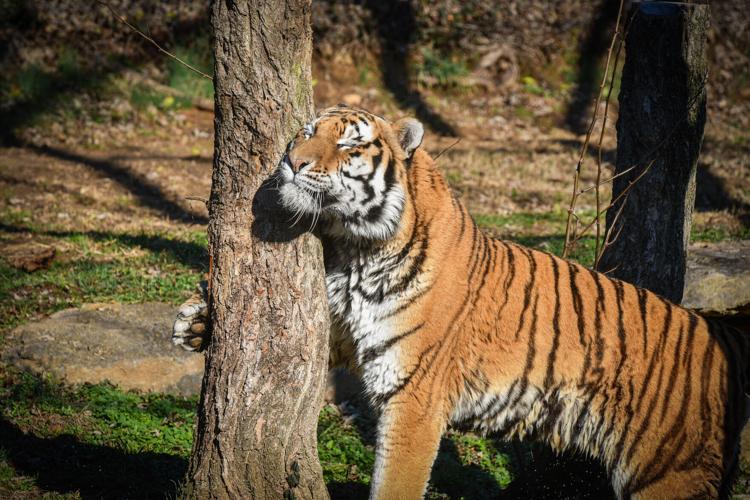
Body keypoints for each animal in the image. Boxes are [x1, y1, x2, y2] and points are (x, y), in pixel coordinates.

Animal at [172, 104, 750, 499]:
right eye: (307, 131)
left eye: (350, 147)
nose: (291, 162)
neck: (355, 249)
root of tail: (719, 332)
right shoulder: (350, 332)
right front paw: (197, 325)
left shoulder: (415, 396)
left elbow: (396, 484)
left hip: (668, 473)